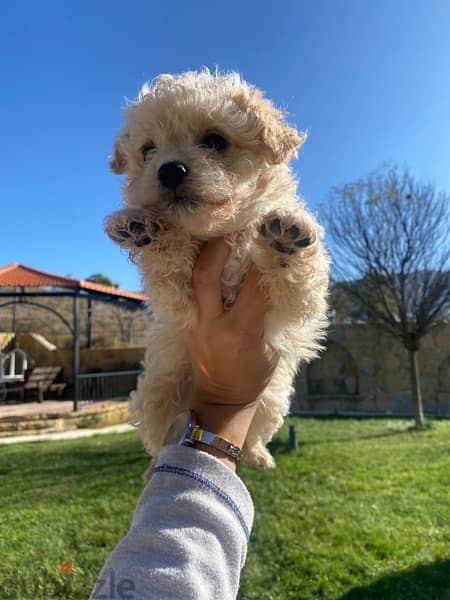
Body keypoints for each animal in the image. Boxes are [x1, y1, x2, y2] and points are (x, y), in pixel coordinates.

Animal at [106, 70, 330, 468]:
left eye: (215, 141)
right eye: (148, 150)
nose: (170, 169)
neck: (220, 228)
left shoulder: (294, 306)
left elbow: (296, 276)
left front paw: (285, 236)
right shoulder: (183, 307)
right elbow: (170, 263)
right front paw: (142, 228)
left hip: (271, 400)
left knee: (255, 432)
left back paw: (258, 456)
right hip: (156, 392)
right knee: (159, 439)